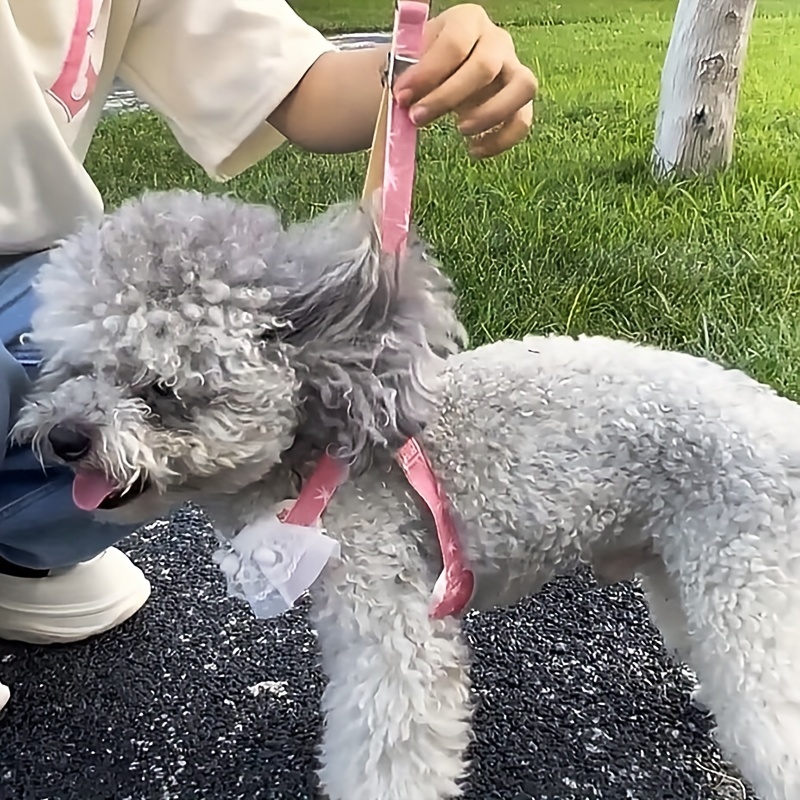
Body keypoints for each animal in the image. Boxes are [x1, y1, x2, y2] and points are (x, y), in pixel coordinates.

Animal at [10, 191, 800, 800]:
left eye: (163, 390)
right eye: (72, 366)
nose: (68, 437)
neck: (319, 445)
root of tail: (781, 423)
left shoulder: (387, 614)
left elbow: (389, 735)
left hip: (746, 582)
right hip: (684, 567)